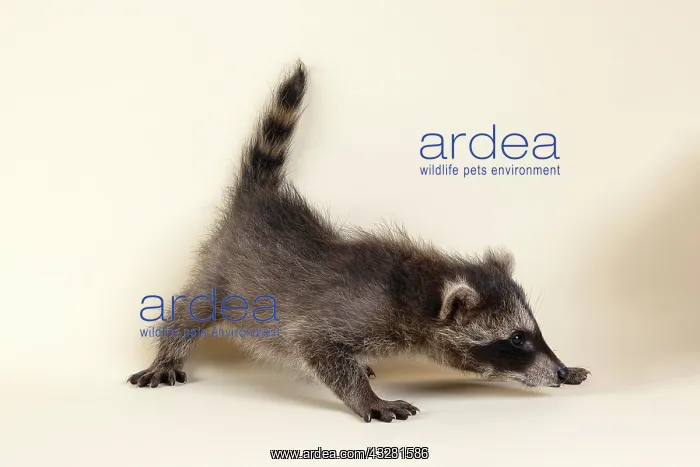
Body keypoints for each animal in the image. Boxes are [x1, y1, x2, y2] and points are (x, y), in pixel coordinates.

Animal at [128, 61, 590, 422]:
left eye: (535, 332)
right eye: (516, 339)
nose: (558, 372)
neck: (416, 284)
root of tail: (261, 201)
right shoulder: (346, 315)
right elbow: (319, 348)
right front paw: (367, 399)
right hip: (222, 268)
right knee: (191, 310)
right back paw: (168, 352)